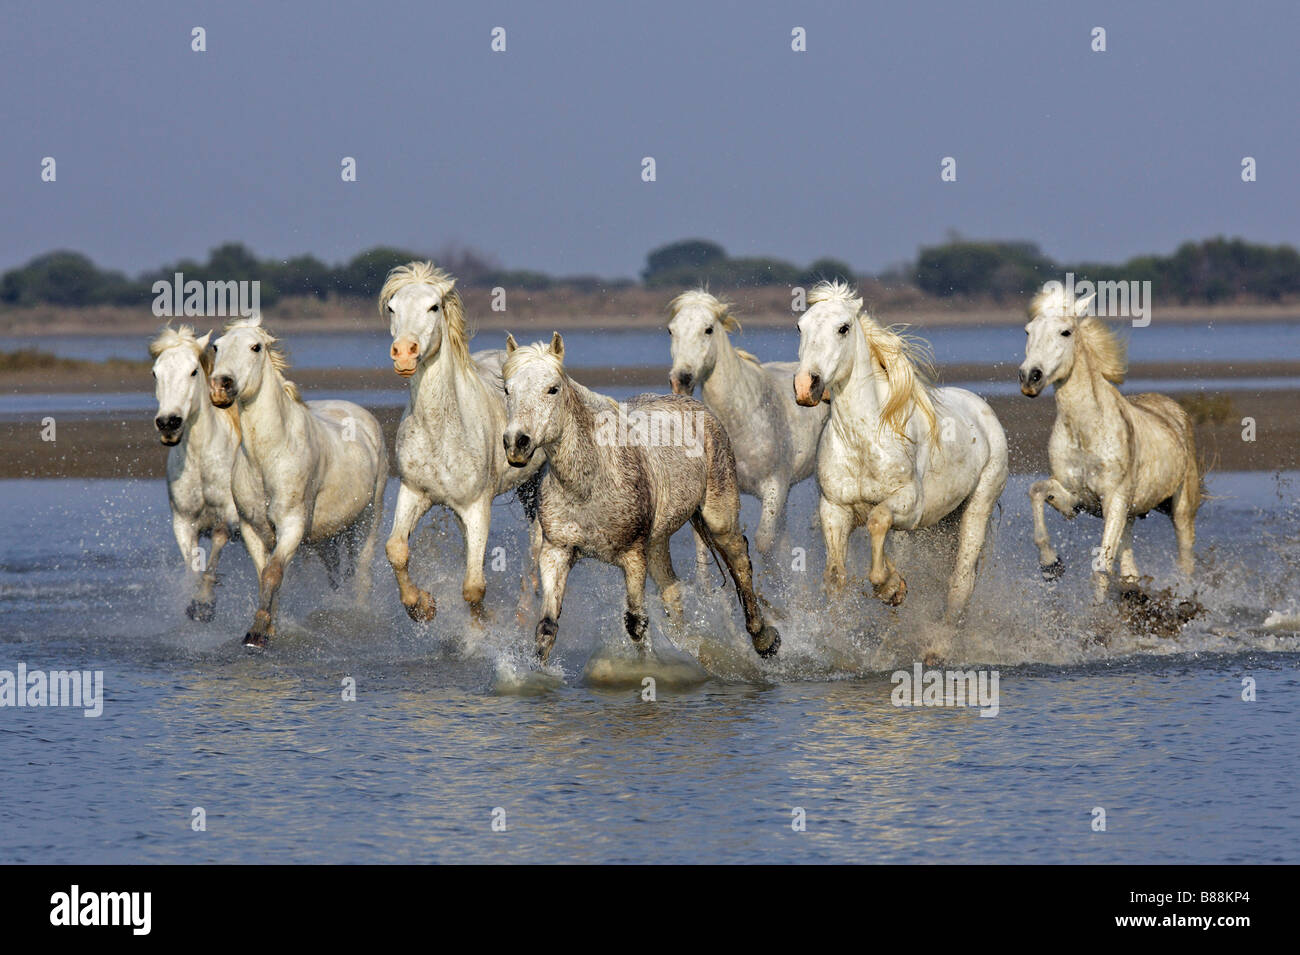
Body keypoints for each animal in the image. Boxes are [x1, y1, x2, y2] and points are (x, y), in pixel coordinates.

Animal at [149, 324, 241, 623]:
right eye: (155, 373)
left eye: (193, 371)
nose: (169, 423)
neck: (201, 461)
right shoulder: (183, 522)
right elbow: (193, 562)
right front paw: (194, 602)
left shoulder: (231, 515)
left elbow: (219, 540)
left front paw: (204, 602)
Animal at [209, 315, 384, 649]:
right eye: (217, 346)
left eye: (256, 346)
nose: (220, 386)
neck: (268, 458)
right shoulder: (253, 528)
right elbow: (265, 574)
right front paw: (268, 629)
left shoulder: (291, 524)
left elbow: (273, 572)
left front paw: (257, 634)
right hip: (328, 536)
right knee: (337, 574)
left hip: (369, 517)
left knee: (363, 572)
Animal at [379, 261, 540, 623]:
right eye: (393, 307)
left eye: (433, 307)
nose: (404, 354)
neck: (440, 432)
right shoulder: (414, 492)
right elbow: (396, 550)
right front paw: (421, 606)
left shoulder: (477, 507)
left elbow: (474, 587)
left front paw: (484, 627)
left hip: (533, 487)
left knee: (536, 549)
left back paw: (525, 612)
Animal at [785, 280, 1008, 623]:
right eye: (800, 326)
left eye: (843, 328)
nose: (805, 387)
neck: (863, 441)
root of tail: (982, 409)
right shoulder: (835, 508)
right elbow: (835, 576)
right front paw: (892, 582)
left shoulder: (908, 503)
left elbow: (877, 521)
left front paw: (890, 588)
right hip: (943, 520)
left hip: (978, 505)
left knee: (960, 582)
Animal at [1019, 287, 1201, 600]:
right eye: (1028, 330)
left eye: (1066, 332)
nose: (1030, 377)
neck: (1086, 433)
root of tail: (1176, 413)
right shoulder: (1076, 497)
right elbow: (1037, 491)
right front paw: (1050, 565)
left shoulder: (1114, 499)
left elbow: (1101, 569)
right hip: (1130, 514)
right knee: (1129, 569)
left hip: (1180, 509)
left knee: (1185, 559)